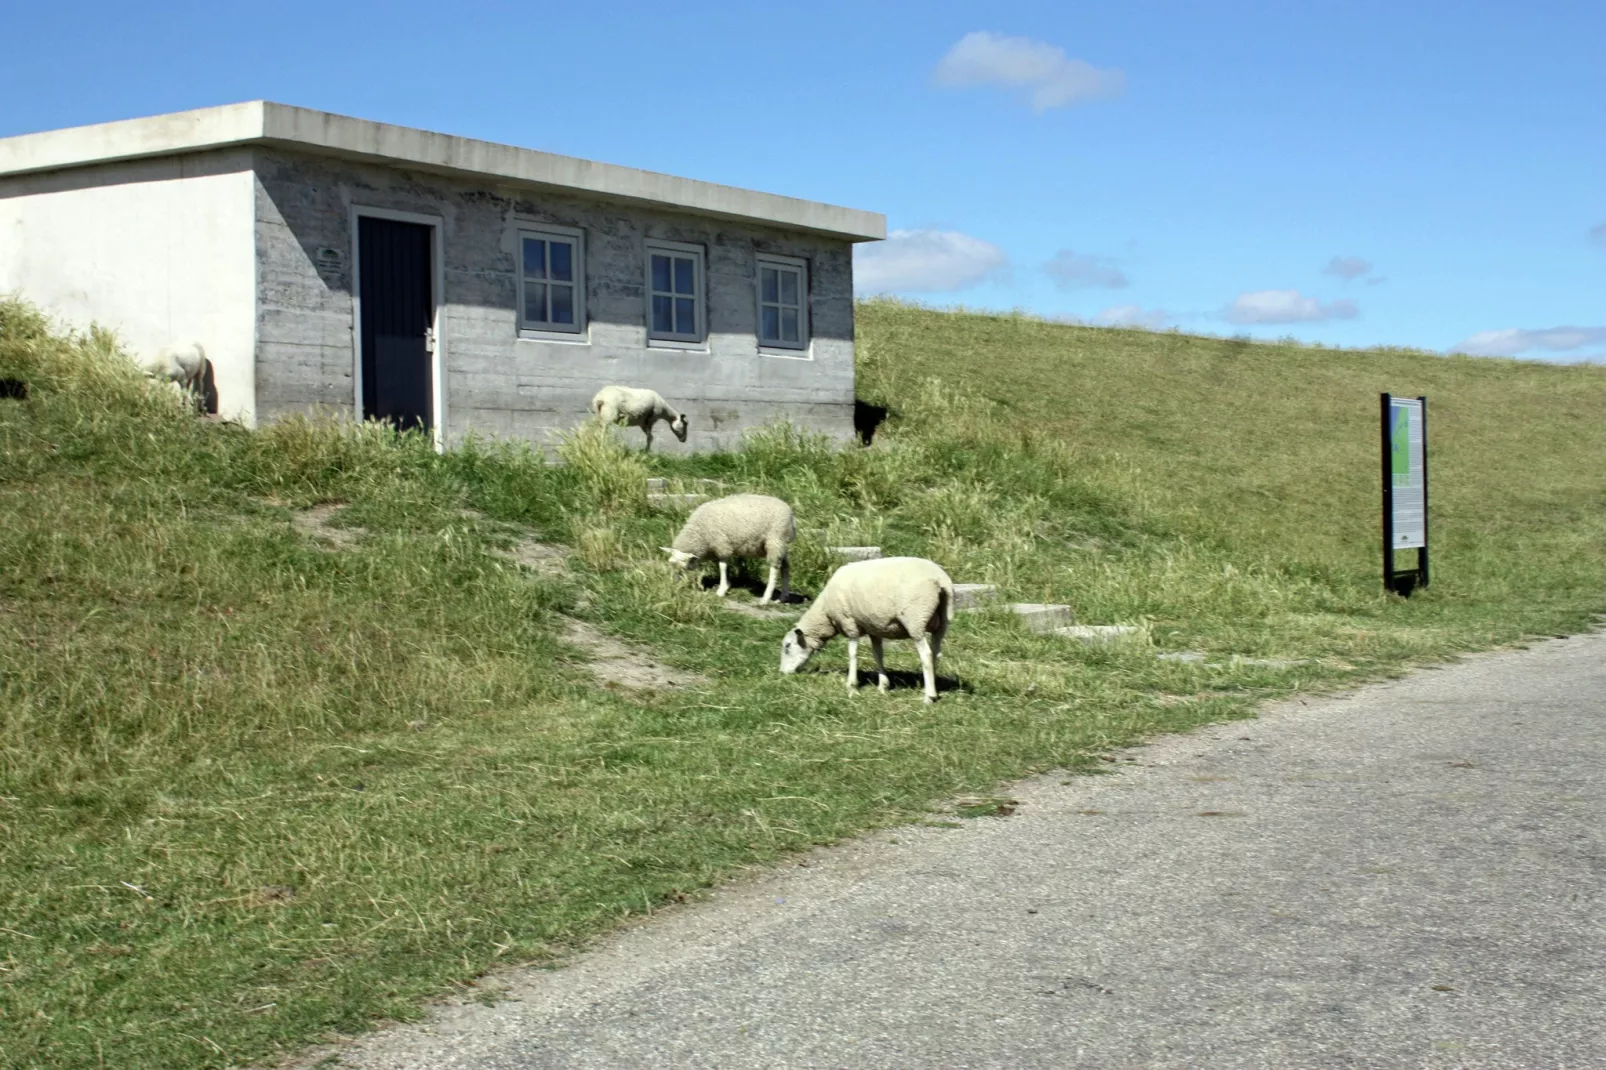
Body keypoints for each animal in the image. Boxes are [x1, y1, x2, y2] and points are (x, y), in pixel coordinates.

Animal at [661, 491, 793, 600]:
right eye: (671, 565)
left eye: (683, 566)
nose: (673, 584)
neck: (699, 534)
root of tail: (790, 514)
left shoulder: (722, 544)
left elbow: (722, 566)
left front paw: (722, 589)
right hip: (781, 544)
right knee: (785, 567)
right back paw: (783, 596)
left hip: (775, 540)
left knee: (774, 567)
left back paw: (766, 598)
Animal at [777, 552, 950, 703]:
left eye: (787, 646)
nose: (782, 673)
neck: (825, 614)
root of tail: (940, 579)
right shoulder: (874, 628)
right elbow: (878, 655)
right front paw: (883, 686)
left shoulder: (849, 623)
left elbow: (852, 654)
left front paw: (851, 685)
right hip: (942, 620)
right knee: (936, 652)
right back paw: (932, 688)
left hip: (915, 619)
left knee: (926, 654)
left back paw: (929, 697)